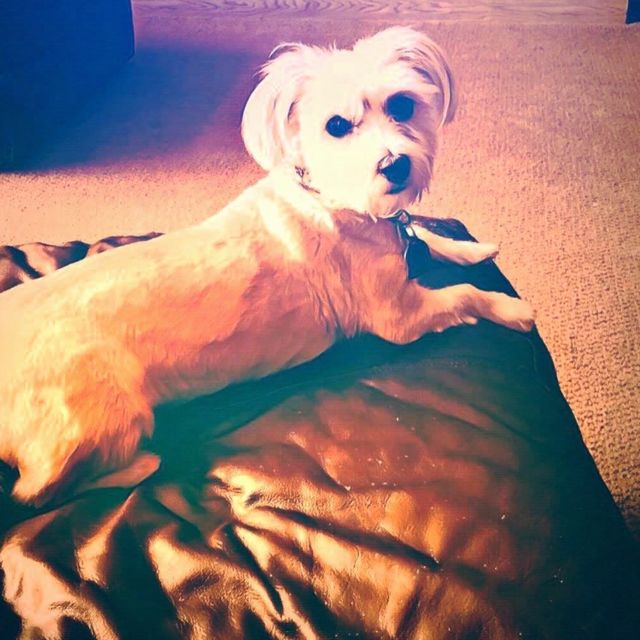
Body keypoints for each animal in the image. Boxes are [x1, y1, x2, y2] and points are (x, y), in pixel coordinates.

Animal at [0, 27, 534, 505]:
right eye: (336, 126)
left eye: (402, 105)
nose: (395, 166)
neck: (334, 198)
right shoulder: (400, 317)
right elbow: (463, 294)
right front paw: (510, 308)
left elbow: (427, 237)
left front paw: (469, 249)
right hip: (108, 419)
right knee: (40, 490)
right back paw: (139, 465)